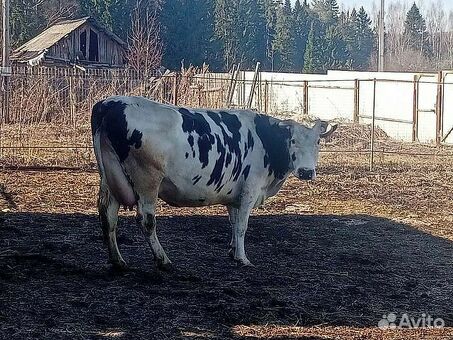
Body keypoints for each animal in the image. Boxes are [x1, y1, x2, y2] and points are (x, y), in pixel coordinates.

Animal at [91, 96, 336, 270]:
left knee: (108, 216)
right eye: (292, 141)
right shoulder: (249, 190)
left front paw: (232, 251)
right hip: (147, 181)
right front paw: (242, 258)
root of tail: (109, 104)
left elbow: (233, 222)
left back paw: (117, 260)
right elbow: (242, 226)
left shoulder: (234, 196)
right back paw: (163, 260)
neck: (265, 140)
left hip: (110, 178)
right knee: (146, 220)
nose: (306, 172)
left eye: (317, 142)